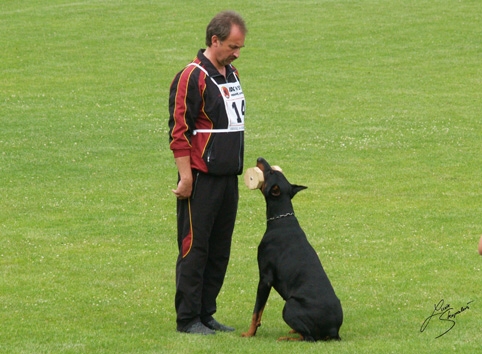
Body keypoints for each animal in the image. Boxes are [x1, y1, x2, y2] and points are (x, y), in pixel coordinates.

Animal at [241, 157, 342, 340]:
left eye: (270, 172)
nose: (260, 158)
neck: (281, 219)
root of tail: (334, 330)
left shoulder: (265, 278)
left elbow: (256, 311)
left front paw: (249, 333)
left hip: (289, 305)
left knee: (309, 338)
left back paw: (287, 338)